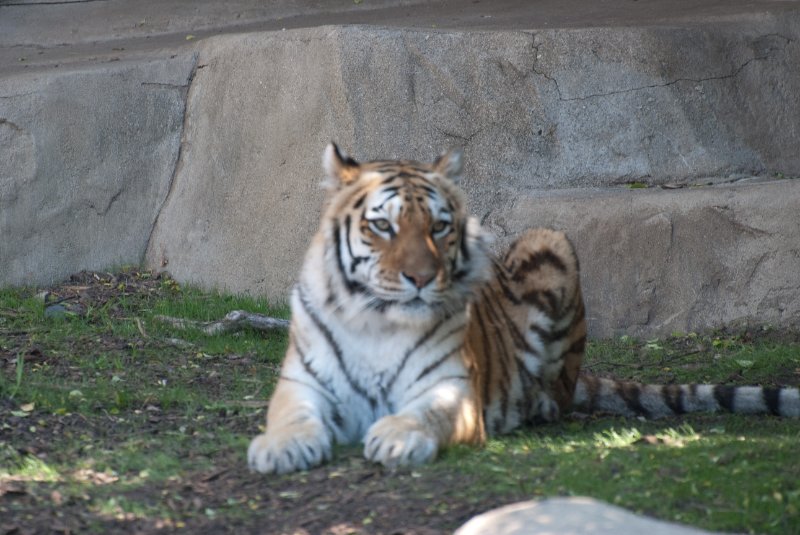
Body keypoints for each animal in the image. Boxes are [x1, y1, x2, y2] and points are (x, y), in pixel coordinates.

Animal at [247, 143, 800, 474]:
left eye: (439, 227)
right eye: (383, 226)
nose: (421, 279)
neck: (376, 324)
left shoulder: (450, 390)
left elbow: (426, 416)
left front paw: (398, 438)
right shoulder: (301, 383)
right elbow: (288, 417)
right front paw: (279, 447)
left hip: (550, 243)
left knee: (559, 389)